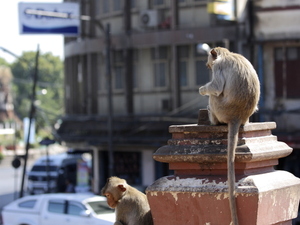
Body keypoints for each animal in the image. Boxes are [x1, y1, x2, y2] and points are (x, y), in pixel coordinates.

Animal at [199, 46, 260, 224]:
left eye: (210, 63)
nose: (208, 66)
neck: (227, 54)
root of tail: (237, 117)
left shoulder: (219, 66)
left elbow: (216, 88)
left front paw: (202, 89)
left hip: (221, 110)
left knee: (214, 96)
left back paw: (213, 120)